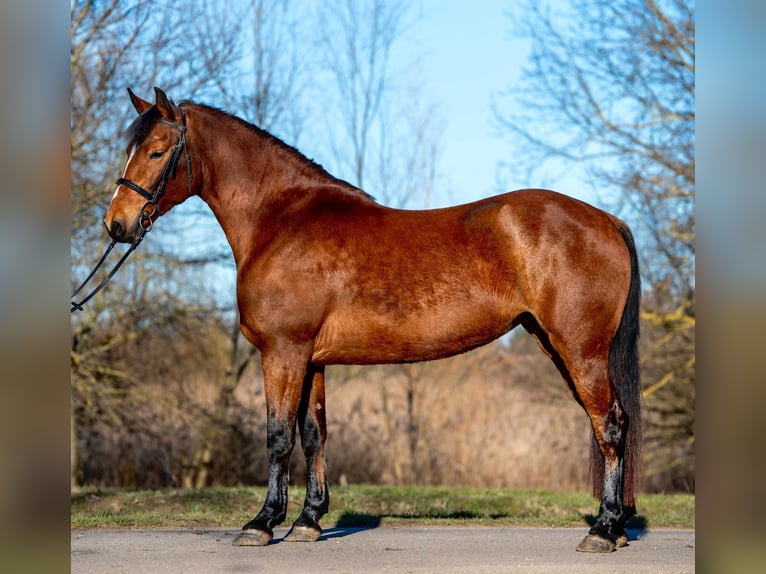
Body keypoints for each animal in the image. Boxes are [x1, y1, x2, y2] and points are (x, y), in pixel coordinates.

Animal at [102, 87, 642, 553]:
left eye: (157, 152)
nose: (116, 224)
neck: (280, 220)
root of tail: (607, 220)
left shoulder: (282, 352)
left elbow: (278, 436)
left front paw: (262, 523)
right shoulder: (311, 359)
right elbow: (313, 434)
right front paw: (308, 521)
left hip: (580, 350)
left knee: (610, 426)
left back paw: (603, 530)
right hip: (558, 345)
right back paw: (613, 528)